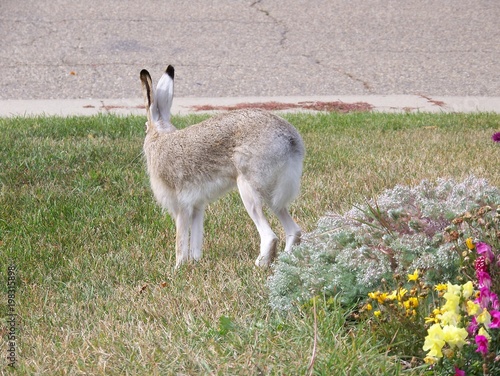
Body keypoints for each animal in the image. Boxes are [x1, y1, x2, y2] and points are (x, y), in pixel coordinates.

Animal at [141, 65, 304, 268]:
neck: (160, 137)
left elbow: (180, 240)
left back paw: (260, 264)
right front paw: (195, 262)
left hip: (249, 187)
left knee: (270, 236)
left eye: (145, 126)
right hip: (272, 194)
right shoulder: (197, 205)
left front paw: (178, 267)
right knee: (293, 230)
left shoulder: (181, 206)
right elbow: (196, 238)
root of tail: (291, 141)